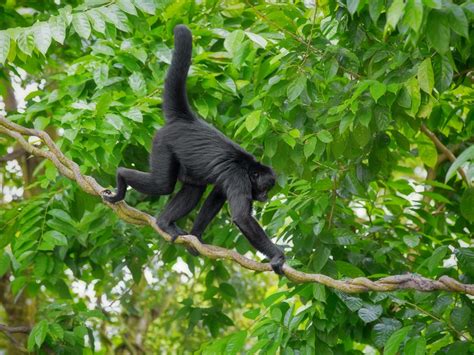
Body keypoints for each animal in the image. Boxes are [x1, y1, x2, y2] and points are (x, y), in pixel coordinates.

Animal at [103, 25, 286, 276]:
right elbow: (241, 216)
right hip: (162, 144)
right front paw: (277, 256)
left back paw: (164, 222)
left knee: (194, 187)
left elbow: (216, 194)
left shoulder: (231, 180)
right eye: (266, 187)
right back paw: (121, 178)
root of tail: (186, 119)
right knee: (163, 184)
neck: (249, 167)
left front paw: (196, 236)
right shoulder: (238, 177)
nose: (266, 197)